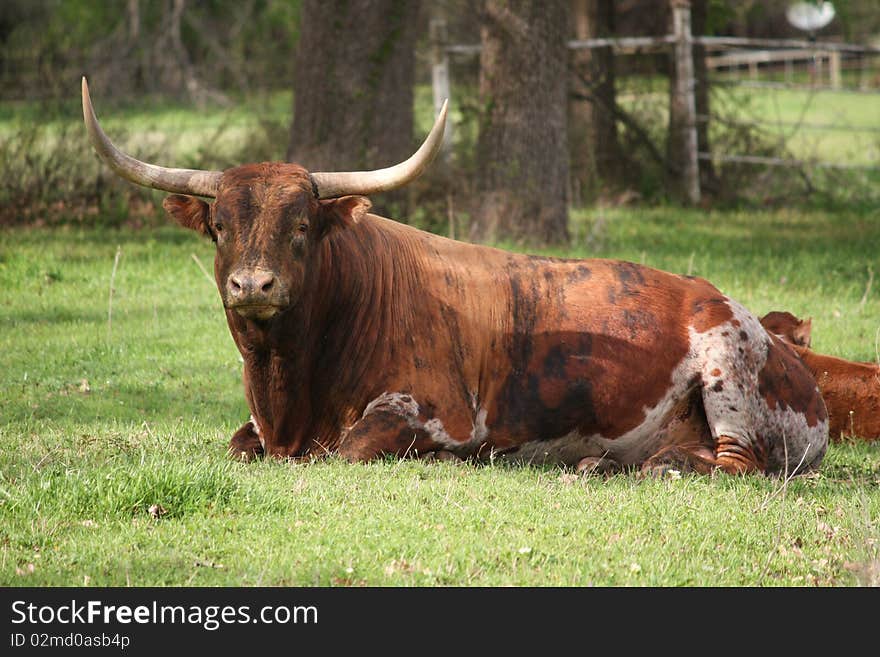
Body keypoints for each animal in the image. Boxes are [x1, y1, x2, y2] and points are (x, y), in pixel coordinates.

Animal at [79, 79, 828, 474]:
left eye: (302, 227)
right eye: (220, 226)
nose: (253, 286)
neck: (289, 385)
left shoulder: (437, 412)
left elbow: (347, 449)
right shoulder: (259, 429)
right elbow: (239, 445)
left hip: (727, 370)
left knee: (733, 462)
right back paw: (604, 463)